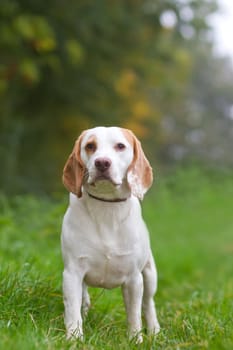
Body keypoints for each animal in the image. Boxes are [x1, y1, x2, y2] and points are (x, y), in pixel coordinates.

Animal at [61, 126, 160, 342]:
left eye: (120, 146)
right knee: (84, 300)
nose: (102, 162)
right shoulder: (72, 273)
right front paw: (74, 339)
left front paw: (135, 340)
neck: (106, 208)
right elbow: (72, 311)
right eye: (90, 146)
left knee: (148, 304)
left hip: (150, 274)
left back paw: (154, 330)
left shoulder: (134, 278)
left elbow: (134, 315)